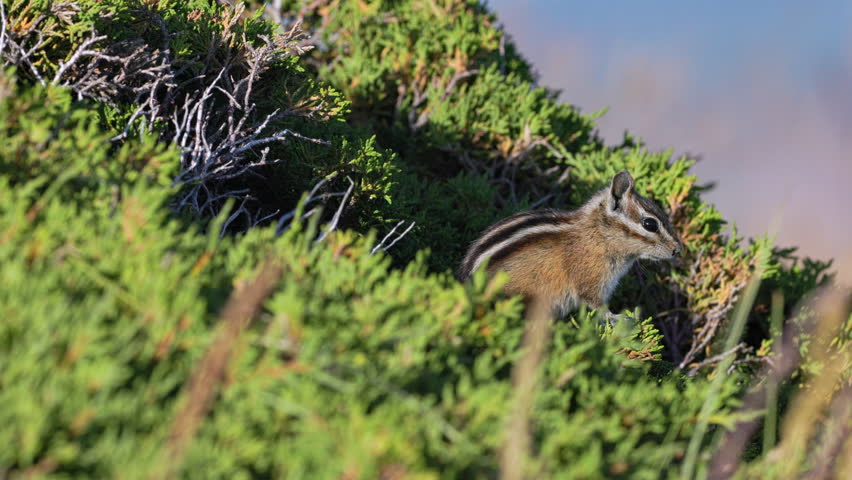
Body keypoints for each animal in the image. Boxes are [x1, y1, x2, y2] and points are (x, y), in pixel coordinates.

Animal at [458, 170, 682, 321]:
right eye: (650, 224)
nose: (677, 249)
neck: (598, 235)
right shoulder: (591, 282)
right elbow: (598, 306)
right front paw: (618, 317)